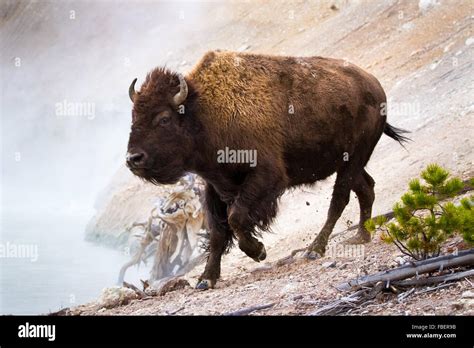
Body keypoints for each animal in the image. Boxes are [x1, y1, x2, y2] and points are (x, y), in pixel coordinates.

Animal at [128, 51, 410, 290]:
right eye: (133, 117)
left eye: (164, 118)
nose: (133, 158)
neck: (203, 113)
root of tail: (374, 85)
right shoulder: (215, 188)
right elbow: (218, 232)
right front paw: (205, 279)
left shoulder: (266, 177)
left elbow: (236, 218)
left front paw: (258, 251)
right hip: (348, 163)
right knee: (366, 189)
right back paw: (360, 236)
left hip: (352, 161)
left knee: (340, 199)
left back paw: (315, 249)